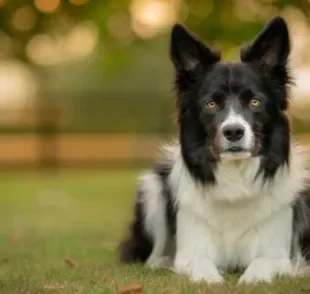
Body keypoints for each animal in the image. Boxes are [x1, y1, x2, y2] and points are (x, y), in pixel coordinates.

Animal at [117, 16, 310, 284]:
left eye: (255, 101)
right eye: (210, 104)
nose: (234, 132)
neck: (235, 180)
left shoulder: (277, 255)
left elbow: (261, 265)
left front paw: (250, 279)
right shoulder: (191, 251)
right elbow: (201, 266)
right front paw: (210, 279)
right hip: (152, 188)